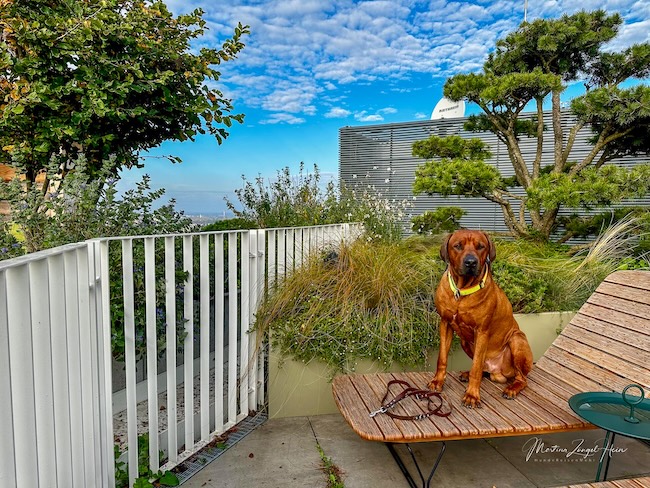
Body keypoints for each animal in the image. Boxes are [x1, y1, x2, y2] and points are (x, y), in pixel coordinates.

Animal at [426, 229, 532, 408]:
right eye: (458, 246)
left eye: (481, 246)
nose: (471, 262)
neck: (461, 291)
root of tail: (496, 370)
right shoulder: (445, 324)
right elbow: (442, 358)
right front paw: (437, 381)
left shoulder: (482, 331)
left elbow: (476, 366)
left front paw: (472, 395)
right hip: (465, 342)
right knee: (483, 369)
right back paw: (467, 374)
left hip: (517, 339)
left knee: (521, 378)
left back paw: (512, 388)